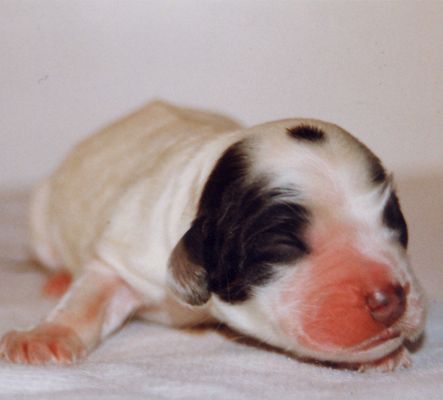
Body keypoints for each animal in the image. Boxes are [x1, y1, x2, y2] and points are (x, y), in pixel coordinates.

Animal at [0, 101, 430, 370]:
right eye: (283, 244)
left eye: (395, 224)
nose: (391, 299)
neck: (201, 188)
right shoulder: (124, 255)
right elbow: (88, 300)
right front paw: (43, 337)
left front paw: (382, 355)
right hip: (42, 222)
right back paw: (57, 279)